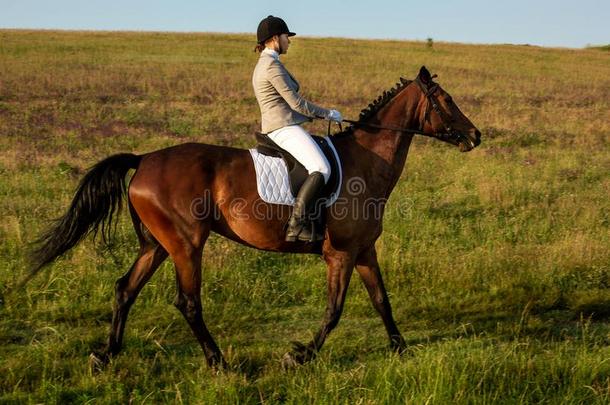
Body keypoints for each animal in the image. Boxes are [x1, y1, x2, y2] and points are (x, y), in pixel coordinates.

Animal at [26, 65, 478, 366]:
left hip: (156, 245)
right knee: (187, 301)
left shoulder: (364, 250)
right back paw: (218, 362)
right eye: (447, 101)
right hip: (186, 244)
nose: (475, 136)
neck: (366, 163)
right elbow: (335, 310)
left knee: (125, 289)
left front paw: (401, 348)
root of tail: (144, 158)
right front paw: (301, 355)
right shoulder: (341, 254)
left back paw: (106, 355)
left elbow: (382, 301)